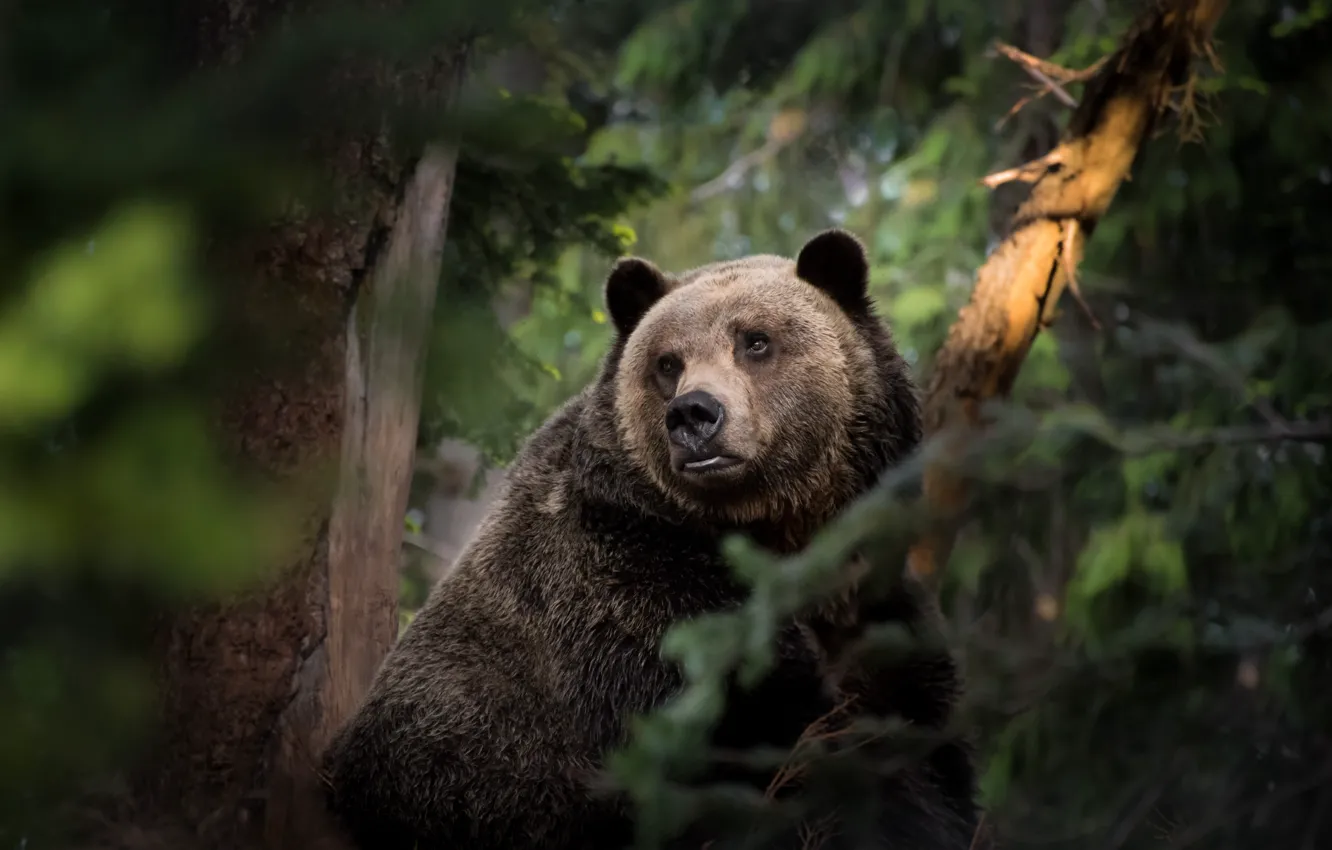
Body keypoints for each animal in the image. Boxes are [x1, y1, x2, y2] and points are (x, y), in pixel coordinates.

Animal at [322, 229, 980, 847]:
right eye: (667, 362)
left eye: (755, 340)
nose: (694, 414)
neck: (773, 536)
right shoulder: (630, 600)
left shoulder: (873, 604)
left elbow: (919, 736)